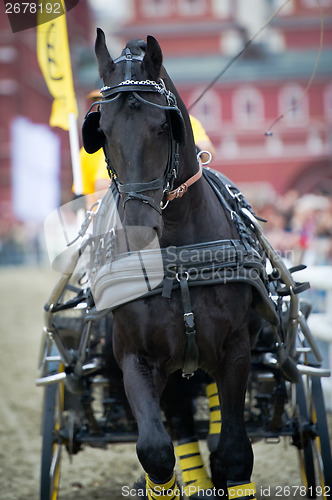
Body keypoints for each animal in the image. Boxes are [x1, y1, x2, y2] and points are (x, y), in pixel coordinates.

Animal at [83, 30, 268, 500]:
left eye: (162, 127)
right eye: (102, 132)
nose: (137, 228)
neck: (179, 264)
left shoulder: (235, 349)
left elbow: (234, 451)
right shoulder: (136, 357)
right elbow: (155, 451)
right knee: (181, 421)